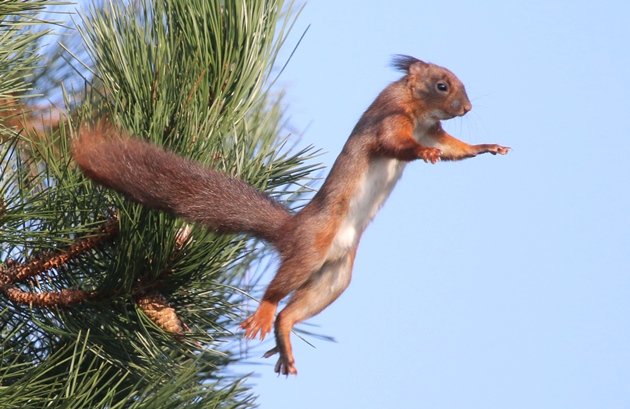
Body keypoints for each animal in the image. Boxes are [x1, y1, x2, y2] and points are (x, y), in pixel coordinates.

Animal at [71, 55, 512, 374]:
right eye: (442, 84)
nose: (467, 106)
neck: (419, 115)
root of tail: (294, 227)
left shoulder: (431, 128)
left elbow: (455, 147)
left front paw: (486, 147)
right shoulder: (389, 118)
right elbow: (396, 143)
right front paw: (424, 153)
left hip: (335, 278)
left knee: (294, 310)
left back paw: (283, 340)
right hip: (309, 250)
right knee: (278, 292)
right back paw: (265, 313)